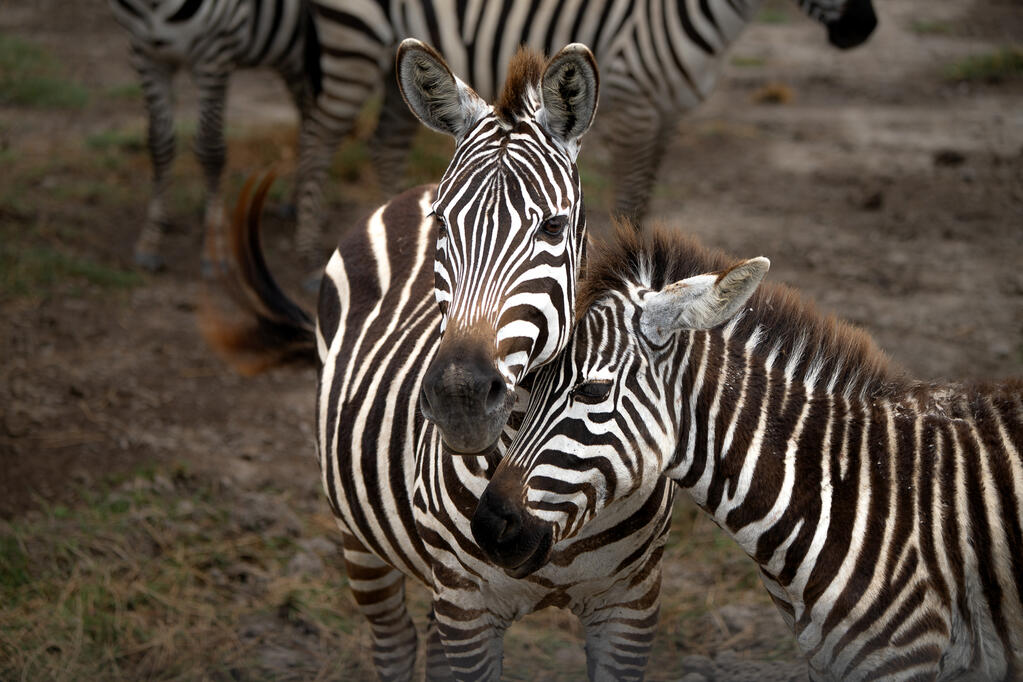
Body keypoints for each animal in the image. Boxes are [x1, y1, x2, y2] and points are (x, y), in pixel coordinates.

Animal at [108, 0, 321, 271]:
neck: (152, 5)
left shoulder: (215, 51)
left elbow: (210, 146)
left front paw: (213, 247)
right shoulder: (145, 54)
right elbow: (159, 143)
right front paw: (150, 241)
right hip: (294, 53)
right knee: (308, 118)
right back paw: (297, 202)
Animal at [203, 42, 678, 680]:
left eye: (554, 226)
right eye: (444, 225)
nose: (461, 398)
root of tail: (415, 187)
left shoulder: (630, 604)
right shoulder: (467, 605)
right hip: (359, 537)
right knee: (395, 641)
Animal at [289, 0, 877, 262]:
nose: (863, 28)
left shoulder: (669, 111)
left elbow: (647, 191)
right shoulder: (638, 101)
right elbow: (633, 198)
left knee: (384, 142)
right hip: (353, 35)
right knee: (319, 134)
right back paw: (307, 243)